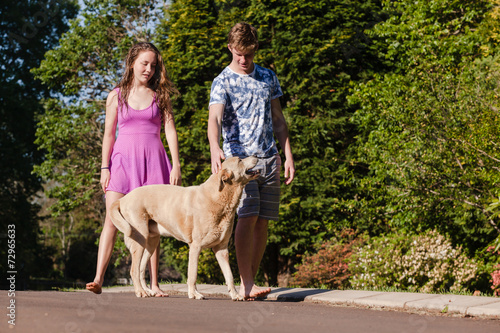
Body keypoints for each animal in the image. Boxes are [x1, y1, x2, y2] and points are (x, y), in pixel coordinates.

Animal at [109, 157, 258, 300]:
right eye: (239, 160)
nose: (256, 156)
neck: (220, 198)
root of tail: (123, 199)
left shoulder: (222, 249)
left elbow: (229, 275)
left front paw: (235, 295)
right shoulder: (196, 246)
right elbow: (192, 274)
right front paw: (194, 294)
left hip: (151, 242)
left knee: (140, 269)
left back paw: (147, 290)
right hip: (140, 237)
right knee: (134, 270)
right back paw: (140, 292)